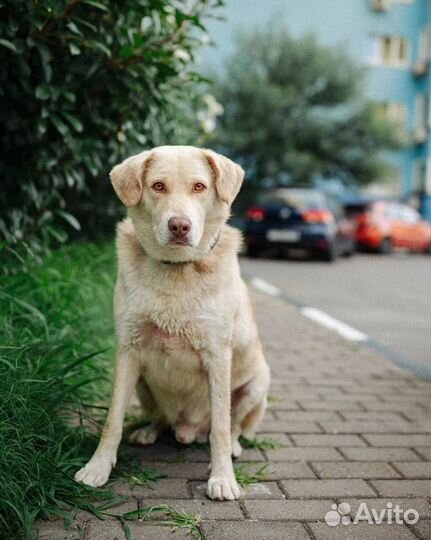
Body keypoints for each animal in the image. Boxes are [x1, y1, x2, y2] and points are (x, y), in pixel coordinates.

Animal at [74, 146, 270, 500]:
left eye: (199, 186)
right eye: (158, 186)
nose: (180, 226)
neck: (176, 270)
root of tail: (188, 430)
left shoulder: (217, 355)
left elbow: (221, 428)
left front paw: (223, 479)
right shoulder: (128, 349)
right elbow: (113, 420)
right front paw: (97, 468)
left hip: (258, 383)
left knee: (233, 425)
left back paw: (234, 447)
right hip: (143, 383)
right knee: (162, 418)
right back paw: (150, 431)